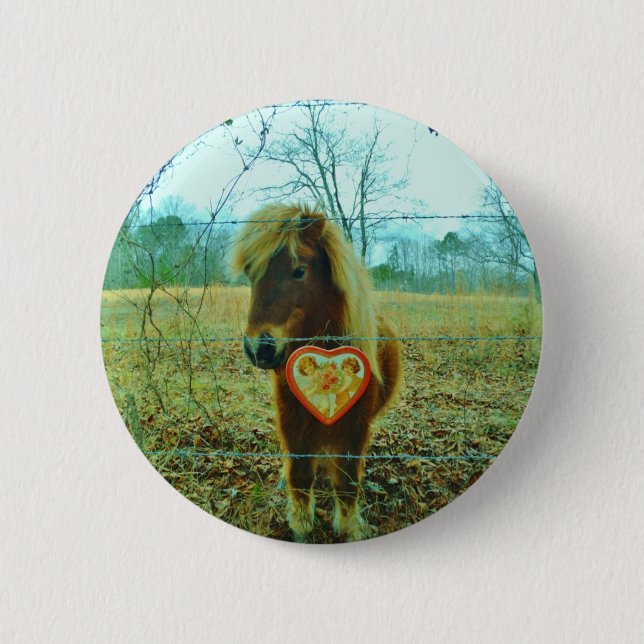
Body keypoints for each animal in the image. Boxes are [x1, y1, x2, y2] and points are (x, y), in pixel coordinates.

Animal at [232, 203, 402, 541]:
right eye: (250, 274)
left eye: (299, 270)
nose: (259, 348)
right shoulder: (292, 421)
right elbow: (299, 474)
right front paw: (301, 525)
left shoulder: (354, 428)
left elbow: (347, 482)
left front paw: (349, 528)